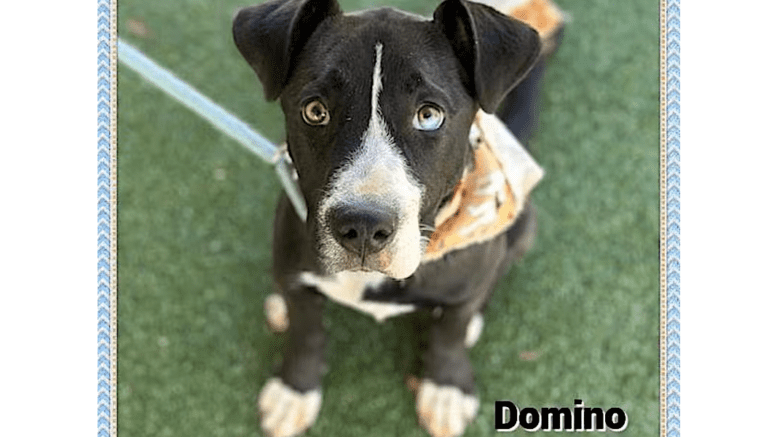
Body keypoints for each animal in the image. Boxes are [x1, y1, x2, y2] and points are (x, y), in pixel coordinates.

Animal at [230, 0, 556, 434]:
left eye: (429, 115)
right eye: (315, 111)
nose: (363, 226)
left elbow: (450, 333)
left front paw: (446, 387)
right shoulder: (295, 268)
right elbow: (306, 331)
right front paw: (294, 390)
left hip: (521, 228)